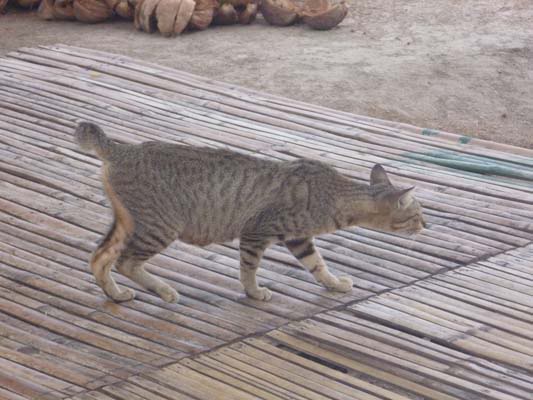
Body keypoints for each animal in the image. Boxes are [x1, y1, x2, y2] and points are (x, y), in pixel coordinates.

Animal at [74, 122, 426, 303]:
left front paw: (334, 284)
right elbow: (248, 268)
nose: (427, 223)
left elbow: (318, 266)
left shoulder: (299, 239)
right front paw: (255, 292)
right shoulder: (257, 232)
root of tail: (124, 149)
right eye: (417, 214)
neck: (337, 194)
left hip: (128, 223)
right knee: (125, 261)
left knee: (98, 257)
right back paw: (164, 291)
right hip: (160, 227)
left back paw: (116, 294)